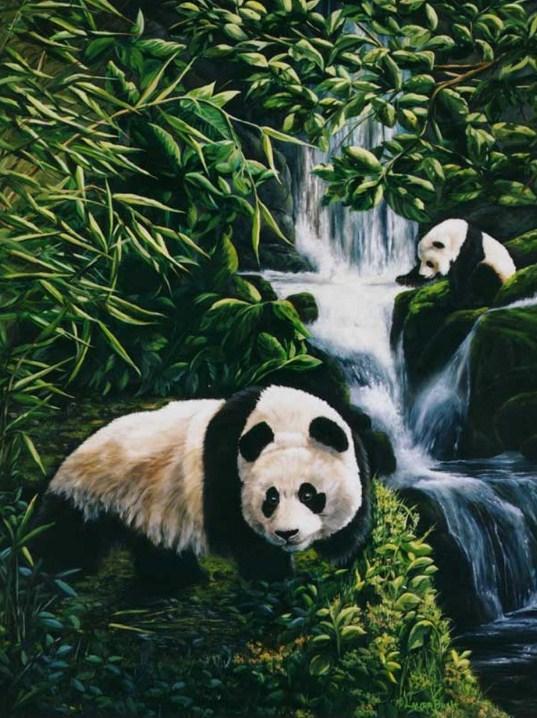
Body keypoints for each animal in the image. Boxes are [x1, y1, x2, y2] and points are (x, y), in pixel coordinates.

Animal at [37, 386, 371, 586]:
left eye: (309, 493)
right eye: (271, 498)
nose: (287, 534)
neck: (284, 416)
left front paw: (343, 555)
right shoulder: (225, 469)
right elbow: (244, 533)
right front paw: (274, 576)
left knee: (158, 547)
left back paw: (173, 579)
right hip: (94, 493)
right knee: (67, 538)